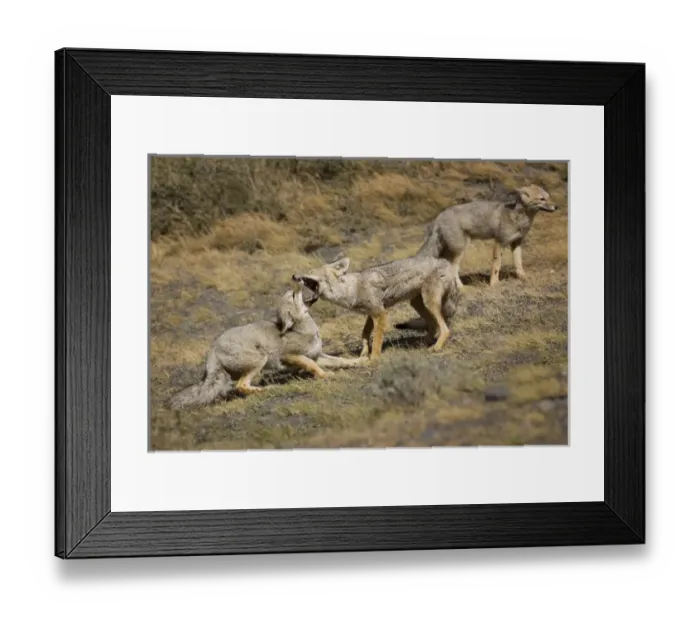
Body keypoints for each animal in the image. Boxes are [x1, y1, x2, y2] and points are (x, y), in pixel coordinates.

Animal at [169, 277, 367, 410]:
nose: (298, 278)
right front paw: (325, 375)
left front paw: (359, 362)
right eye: (293, 295)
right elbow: (311, 365)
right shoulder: (291, 356)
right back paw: (267, 389)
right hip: (260, 360)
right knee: (241, 386)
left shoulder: (317, 355)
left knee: (234, 388)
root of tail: (213, 348)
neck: (303, 330)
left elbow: (340, 360)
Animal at [294, 255, 462, 362]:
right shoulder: (371, 313)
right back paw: (424, 342)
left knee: (445, 329)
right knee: (433, 325)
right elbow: (364, 334)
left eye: (310, 272)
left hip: (429, 303)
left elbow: (376, 340)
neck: (351, 290)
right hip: (418, 304)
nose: (294, 276)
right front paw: (363, 353)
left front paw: (373, 358)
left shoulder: (380, 313)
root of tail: (447, 263)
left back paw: (436, 347)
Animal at [416, 184, 558, 288]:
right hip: (460, 250)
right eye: (542, 199)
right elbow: (496, 265)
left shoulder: (517, 242)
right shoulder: (500, 242)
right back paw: (461, 287)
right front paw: (494, 283)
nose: (557, 207)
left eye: (548, 197)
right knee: (453, 268)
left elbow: (518, 263)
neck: (519, 219)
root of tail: (440, 216)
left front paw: (523, 277)